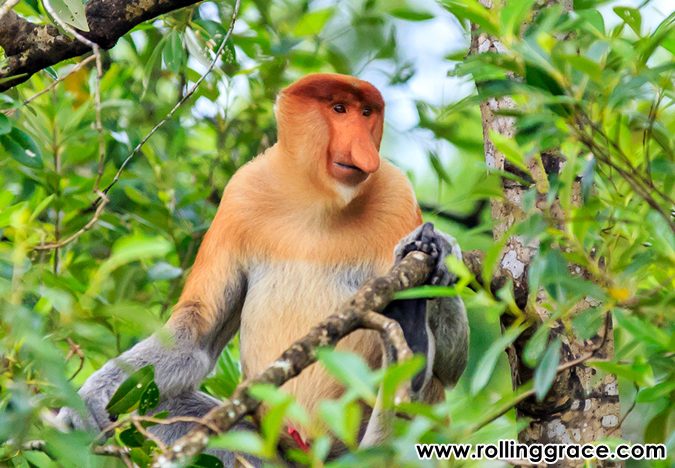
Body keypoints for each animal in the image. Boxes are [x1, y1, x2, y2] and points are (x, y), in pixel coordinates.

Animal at [57, 73, 469, 462]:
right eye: (339, 109)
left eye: (367, 113)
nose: (365, 151)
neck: (319, 201)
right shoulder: (241, 195)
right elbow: (195, 337)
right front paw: (87, 401)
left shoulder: (398, 195)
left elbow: (453, 368)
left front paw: (438, 249)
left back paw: (411, 334)